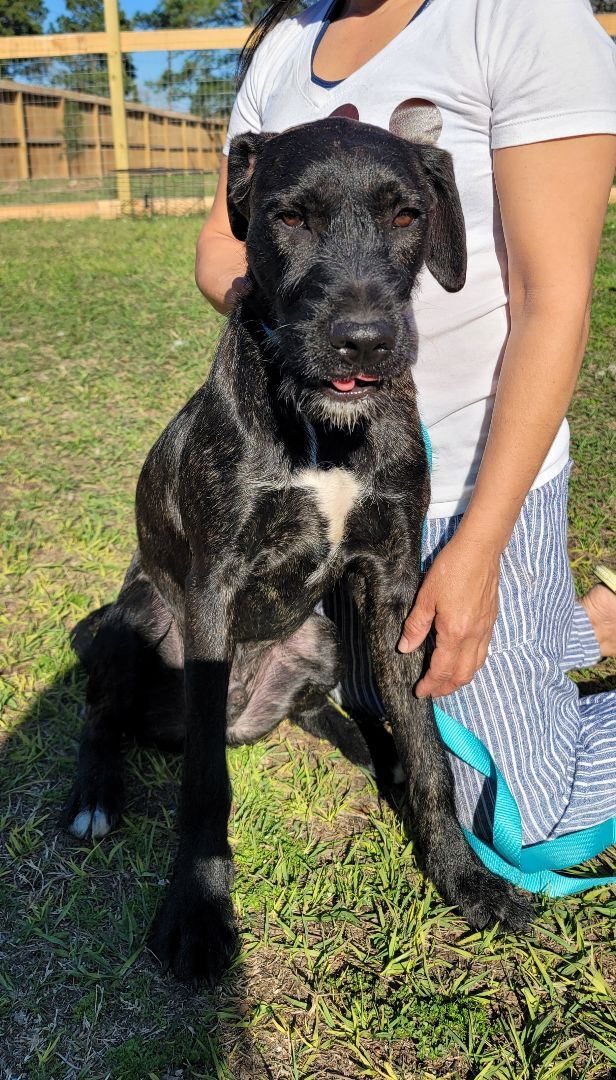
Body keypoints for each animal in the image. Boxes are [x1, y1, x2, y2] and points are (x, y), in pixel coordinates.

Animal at [62, 105, 532, 984]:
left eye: (407, 215)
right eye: (288, 217)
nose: (365, 340)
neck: (324, 427)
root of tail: (248, 714)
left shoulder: (392, 584)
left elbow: (430, 752)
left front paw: (463, 875)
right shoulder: (212, 590)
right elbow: (204, 785)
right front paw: (198, 910)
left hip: (319, 638)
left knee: (328, 712)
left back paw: (376, 753)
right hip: (131, 619)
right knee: (103, 714)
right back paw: (96, 796)